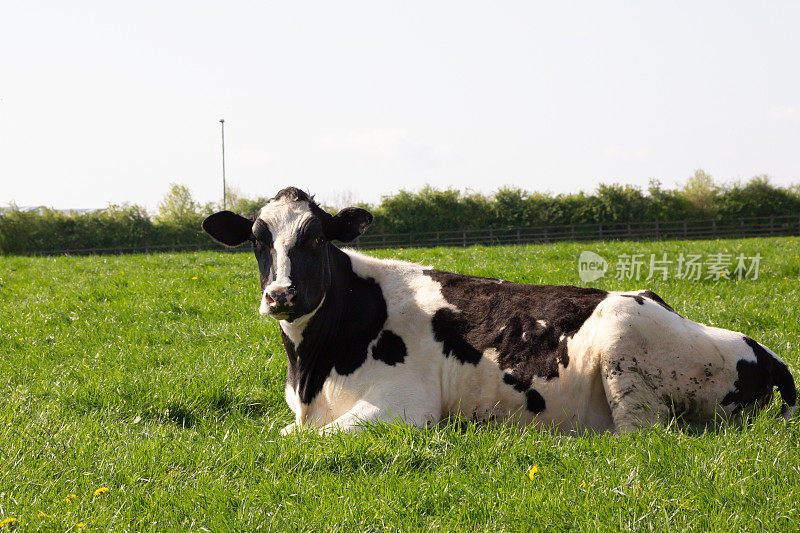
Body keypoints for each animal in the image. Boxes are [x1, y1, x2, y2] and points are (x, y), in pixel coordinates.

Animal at [203, 186, 796, 432]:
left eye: (317, 237)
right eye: (257, 240)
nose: (281, 295)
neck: (312, 368)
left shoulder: (402, 407)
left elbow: (297, 443)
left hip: (625, 351)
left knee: (643, 436)